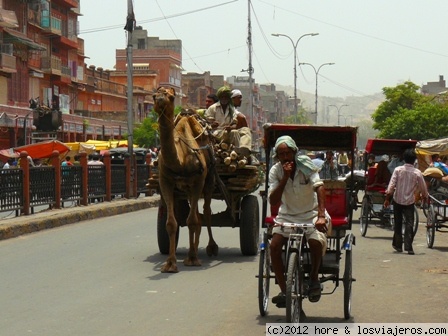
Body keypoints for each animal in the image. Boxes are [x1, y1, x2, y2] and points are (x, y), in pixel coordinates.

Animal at [152, 86, 219, 272]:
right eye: (154, 95)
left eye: (171, 96)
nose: (160, 99)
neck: (180, 161)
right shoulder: (166, 182)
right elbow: (171, 223)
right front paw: (170, 263)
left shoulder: (198, 182)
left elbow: (192, 221)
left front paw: (193, 259)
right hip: (187, 190)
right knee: (197, 215)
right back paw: (194, 248)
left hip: (208, 182)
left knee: (206, 213)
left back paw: (210, 247)